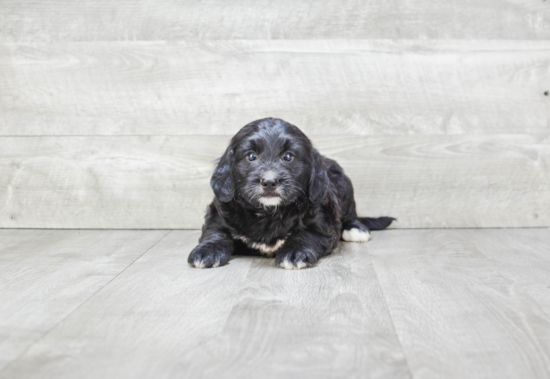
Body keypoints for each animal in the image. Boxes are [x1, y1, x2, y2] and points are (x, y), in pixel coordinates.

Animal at [190, 119, 396, 270]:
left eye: (288, 156)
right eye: (251, 156)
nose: (269, 181)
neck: (268, 213)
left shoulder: (322, 220)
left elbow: (307, 234)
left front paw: (294, 252)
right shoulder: (220, 211)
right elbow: (215, 231)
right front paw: (207, 251)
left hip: (345, 186)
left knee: (351, 214)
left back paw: (356, 229)